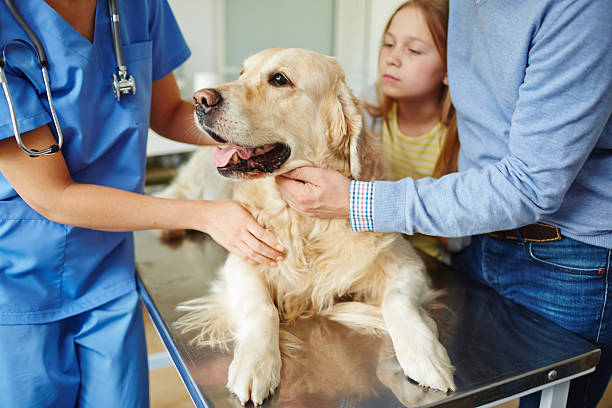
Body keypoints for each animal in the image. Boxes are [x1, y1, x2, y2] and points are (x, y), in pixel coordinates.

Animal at [161, 47, 454, 404]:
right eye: (242, 73)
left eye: (279, 79)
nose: (200, 100)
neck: (304, 223)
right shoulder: (243, 259)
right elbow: (262, 308)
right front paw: (256, 363)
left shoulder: (406, 263)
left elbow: (397, 301)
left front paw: (425, 356)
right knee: (175, 192)